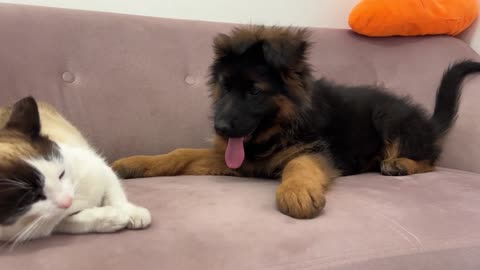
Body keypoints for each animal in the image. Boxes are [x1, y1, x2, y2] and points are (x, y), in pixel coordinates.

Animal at [0, 97, 151, 245]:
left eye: (61, 174)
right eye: (32, 197)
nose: (67, 201)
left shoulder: (101, 168)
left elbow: (115, 195)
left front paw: (133, 213)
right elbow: (77, 221)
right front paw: (113, 218)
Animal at [113, 25, 480, 219]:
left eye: (254, 91)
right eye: (225, 87)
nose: (220, 128)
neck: (276, 130)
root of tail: (428, 123)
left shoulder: (313, 152)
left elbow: (298, 165)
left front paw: (297, 191)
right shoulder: (233, 159)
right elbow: (180, 153)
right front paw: (137, 162)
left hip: (388, 117)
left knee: (430, 161)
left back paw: (400, 164)